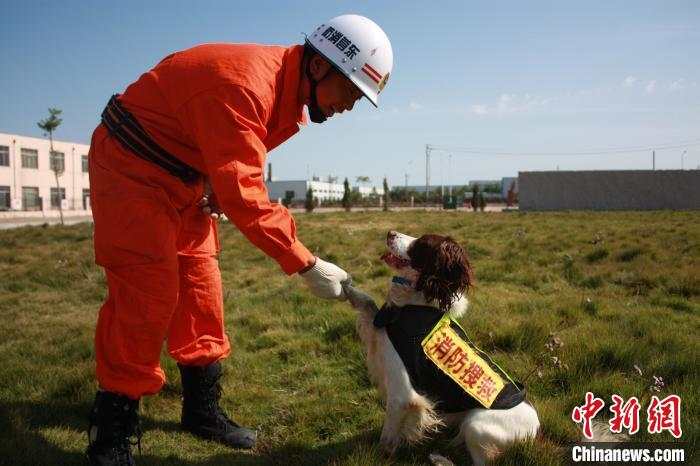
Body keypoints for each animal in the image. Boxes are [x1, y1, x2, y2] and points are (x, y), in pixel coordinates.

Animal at [344, 231, 540, 464]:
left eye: (421, 244)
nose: (390, 232)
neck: (417, 305)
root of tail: (536, 429)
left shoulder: (401, 394)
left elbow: (387, 438)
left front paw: (379, 455)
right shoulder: (381, 328)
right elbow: (367, 302)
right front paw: (346, 287)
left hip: (476, 425)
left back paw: (439, 459)